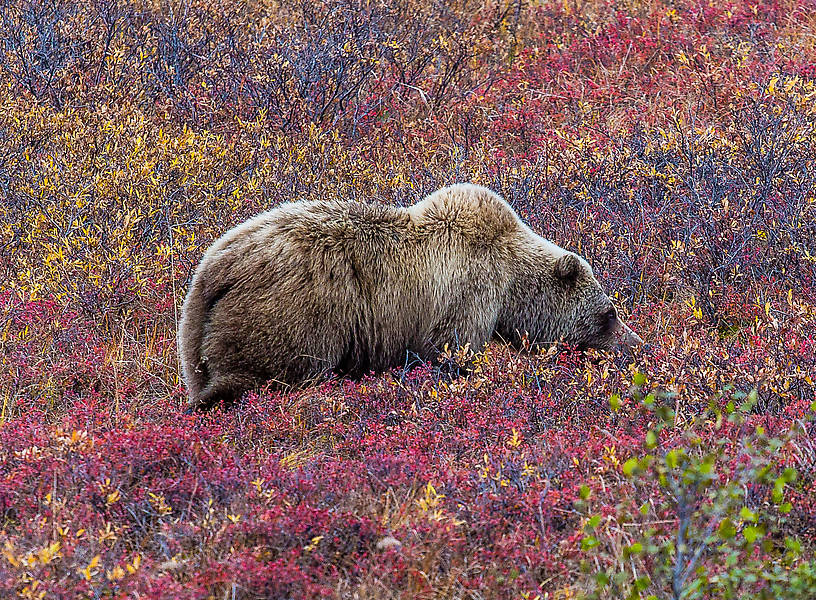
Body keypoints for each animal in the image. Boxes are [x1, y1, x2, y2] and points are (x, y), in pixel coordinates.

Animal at [178, 183, 644, 410]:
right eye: (609, 313)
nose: (637, 345)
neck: (511, 287)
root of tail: (213, 271)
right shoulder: (467, 297)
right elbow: (453, 353)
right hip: (288, 317)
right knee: (254, 376)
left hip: (195, 332)